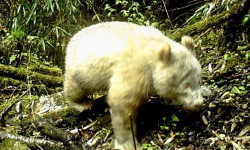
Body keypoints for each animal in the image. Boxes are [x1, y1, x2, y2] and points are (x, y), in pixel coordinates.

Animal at [64, 21, 203, 149]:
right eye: (186, 85)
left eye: (199, 81)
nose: (199, 103)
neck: (153, 52)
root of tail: (71, 41)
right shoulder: (135, 70)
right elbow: (122, 104)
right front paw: (128, 143)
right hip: (82, 69)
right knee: (76, 87)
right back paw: (82, 103)